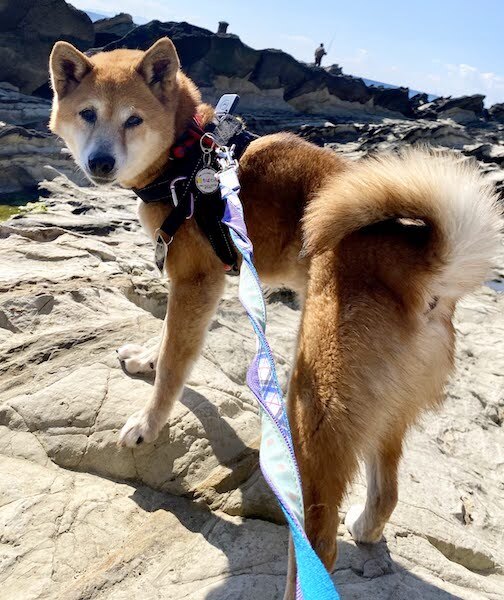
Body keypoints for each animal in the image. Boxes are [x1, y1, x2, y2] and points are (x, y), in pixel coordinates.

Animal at [49, 37, 502, 598]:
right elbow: (167, 338)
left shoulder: (196, 282)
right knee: (388, 489)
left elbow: (176, 366)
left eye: (133, 119)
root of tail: (426, 267)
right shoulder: (196, 284)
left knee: (319, 540)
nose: (101, 162)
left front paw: (147, 424)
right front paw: (145, 357)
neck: (186, 156)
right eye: (88, 113)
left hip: (310, 402)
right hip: (387, 406)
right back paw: (367, 524)